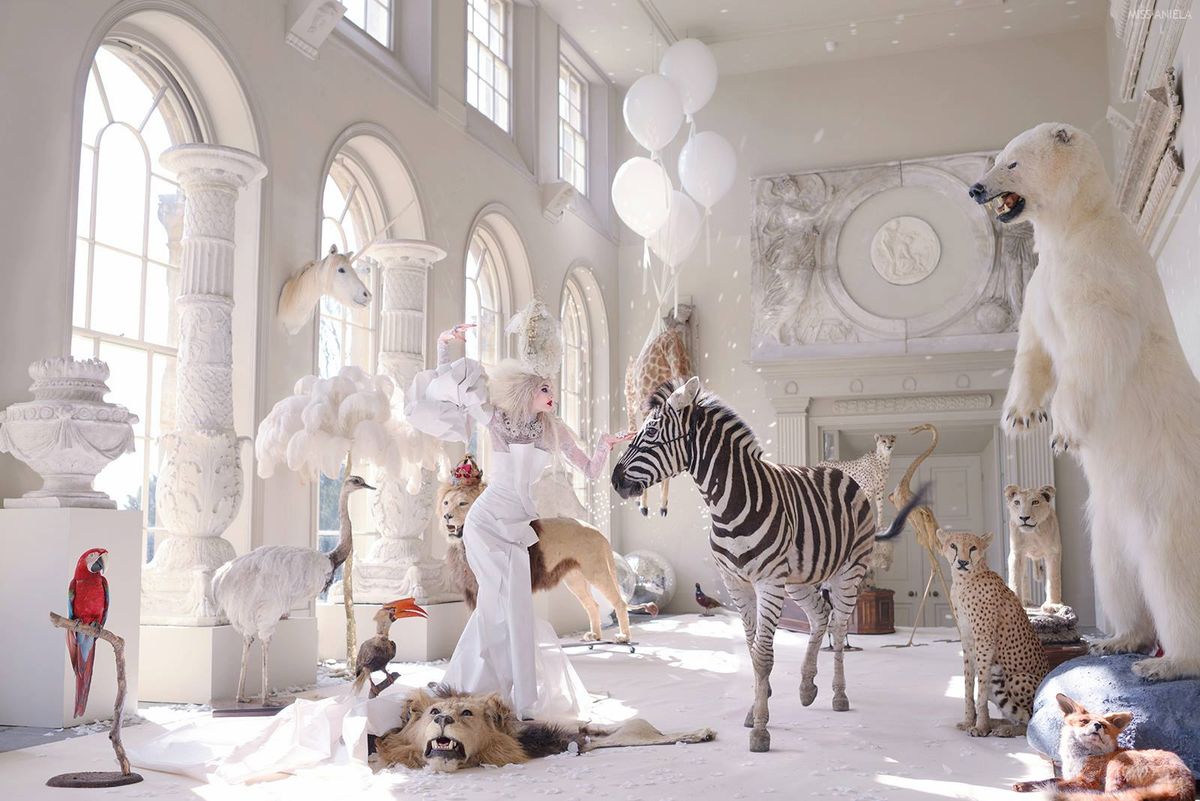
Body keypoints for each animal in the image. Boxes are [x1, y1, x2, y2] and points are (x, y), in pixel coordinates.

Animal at [614, 376, 921, 753]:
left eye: (652, 431)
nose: (614, 479)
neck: (728, 505)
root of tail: (838, 472)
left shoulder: (768, 583)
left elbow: (763, 654)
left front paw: (760, 729)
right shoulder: (736, 584)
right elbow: (751, 649)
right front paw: (756, 707)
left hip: (848, 572)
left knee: (838, 628)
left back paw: (838, 695)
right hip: (800, 580)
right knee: (820, 616)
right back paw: (807, 687)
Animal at [940, 527, 1046, 733]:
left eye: (973, 547)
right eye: (953, 545)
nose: (962, 562)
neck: (964, 581)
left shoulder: (984, 640)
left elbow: (980, 685)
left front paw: (980, 727)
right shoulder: (967, 640)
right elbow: (968, 683)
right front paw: (969, 721)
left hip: (1018, 678)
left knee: (1030, 719)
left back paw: (1005, 730)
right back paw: (998, 724)